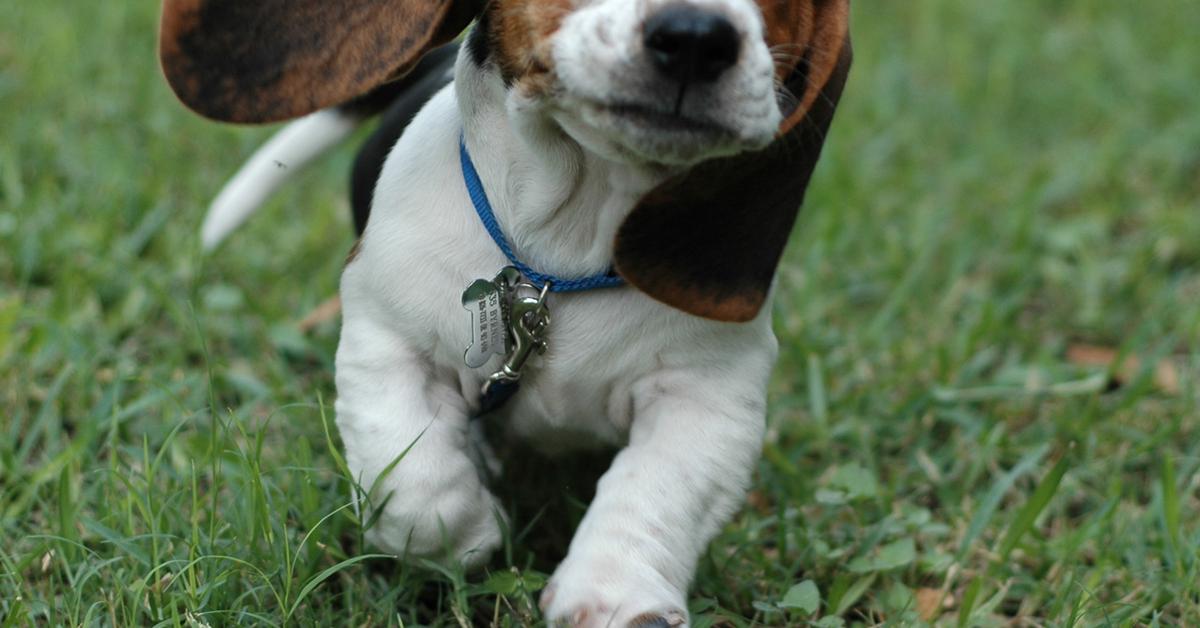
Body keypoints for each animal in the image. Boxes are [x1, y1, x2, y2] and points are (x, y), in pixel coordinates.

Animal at [162, 0, 854, 624]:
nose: (694, 36)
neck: (565, 251)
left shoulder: (709, 396)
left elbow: (659, 488)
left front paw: (614, 592)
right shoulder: (388, 338)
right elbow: (414, 481)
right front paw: (469, 533)